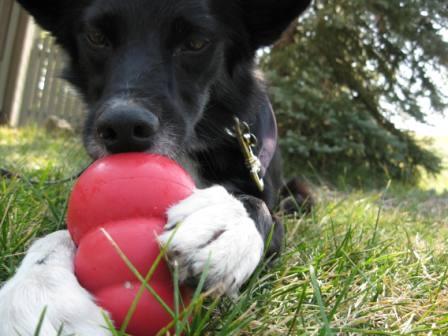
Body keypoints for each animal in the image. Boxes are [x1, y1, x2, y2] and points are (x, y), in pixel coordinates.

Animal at [0, 1, 312, 334]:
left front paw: (226, 222)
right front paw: (40, 290)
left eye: (197, 42)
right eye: (96, 37)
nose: (123, 127)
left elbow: (261, 209)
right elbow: (62, 234)